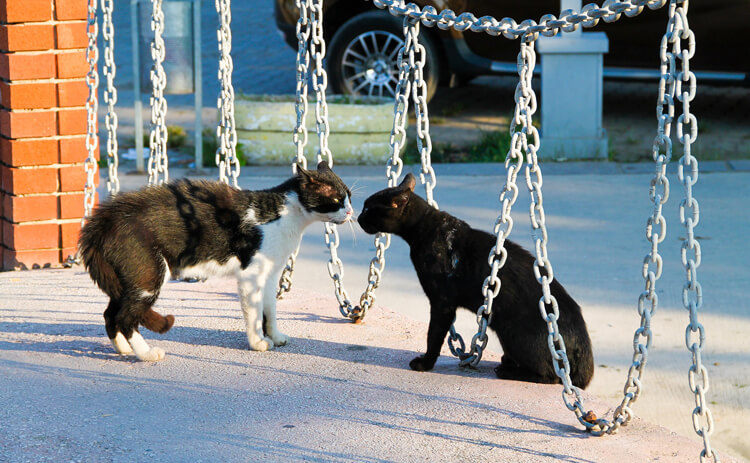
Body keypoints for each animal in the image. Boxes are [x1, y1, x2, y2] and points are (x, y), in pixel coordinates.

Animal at [78, 162, 354, 362]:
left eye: (349, 196)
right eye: (336, 200)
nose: (351, 211)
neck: (287, 216)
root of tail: (101, 222)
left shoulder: (270, 273)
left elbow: (270, 309)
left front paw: (275, 336)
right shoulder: (251, 275)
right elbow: (255, 313)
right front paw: (258, 342)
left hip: (127, 280)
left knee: (111, 314)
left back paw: (123, 349)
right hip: (148, 276)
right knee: (126, 317)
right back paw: (146, 354)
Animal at [360, 172, 600, 390]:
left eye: (368, 208)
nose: (359, 218)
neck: (425, 228)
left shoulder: (442, 303)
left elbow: (433, 336)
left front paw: (425, 363)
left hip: (512, 332)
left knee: (551, 376)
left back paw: (508, 371)